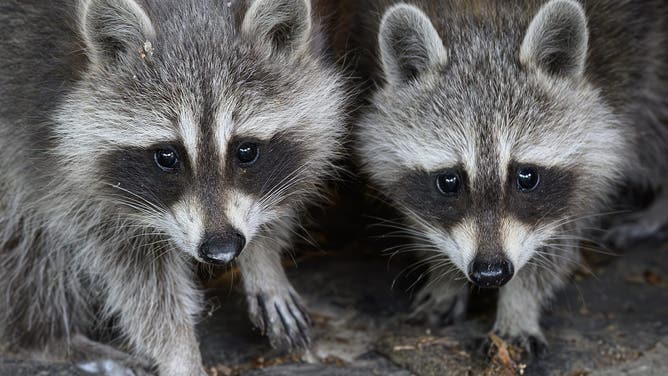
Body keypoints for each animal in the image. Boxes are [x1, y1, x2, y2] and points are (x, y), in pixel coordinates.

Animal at [0, 0, 344, 374]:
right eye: (167, 156)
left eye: (246, 151)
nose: (222, 250)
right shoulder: (59, 159)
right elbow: (140, 279)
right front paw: (180, 353)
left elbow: (286, 186)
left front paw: (263, 259)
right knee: (29, 243)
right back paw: (46, 338)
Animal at [344, 0, 668, 356]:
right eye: (449, 181)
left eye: (526, 177)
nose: (491, 273)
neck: (487, 20)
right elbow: (424, 218)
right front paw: (444, 276)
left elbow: (559, 234)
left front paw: (519, 303)